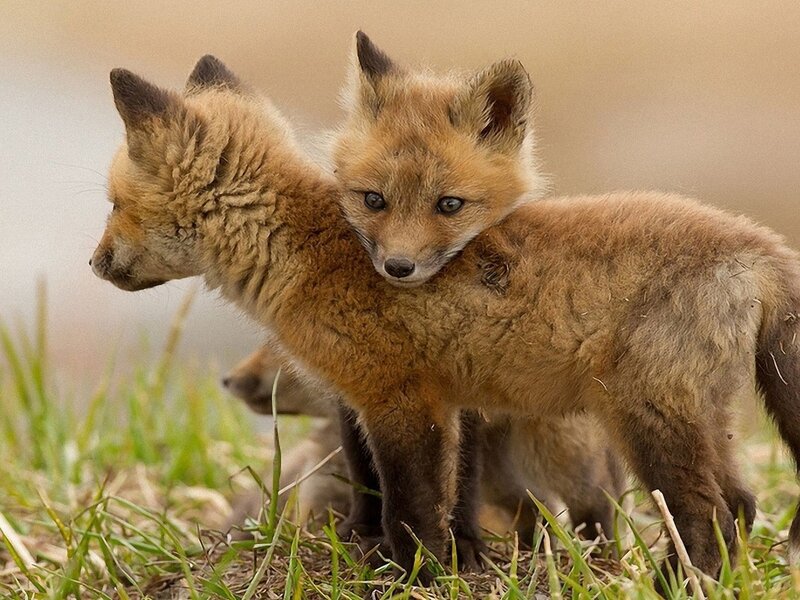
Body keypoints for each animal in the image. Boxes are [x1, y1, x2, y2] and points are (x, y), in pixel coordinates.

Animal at [223, 346, 625, 543]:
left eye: (276, 352)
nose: (230, 380)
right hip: (507, 474)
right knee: (536, 508)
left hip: (555, 450)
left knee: (594, 499)